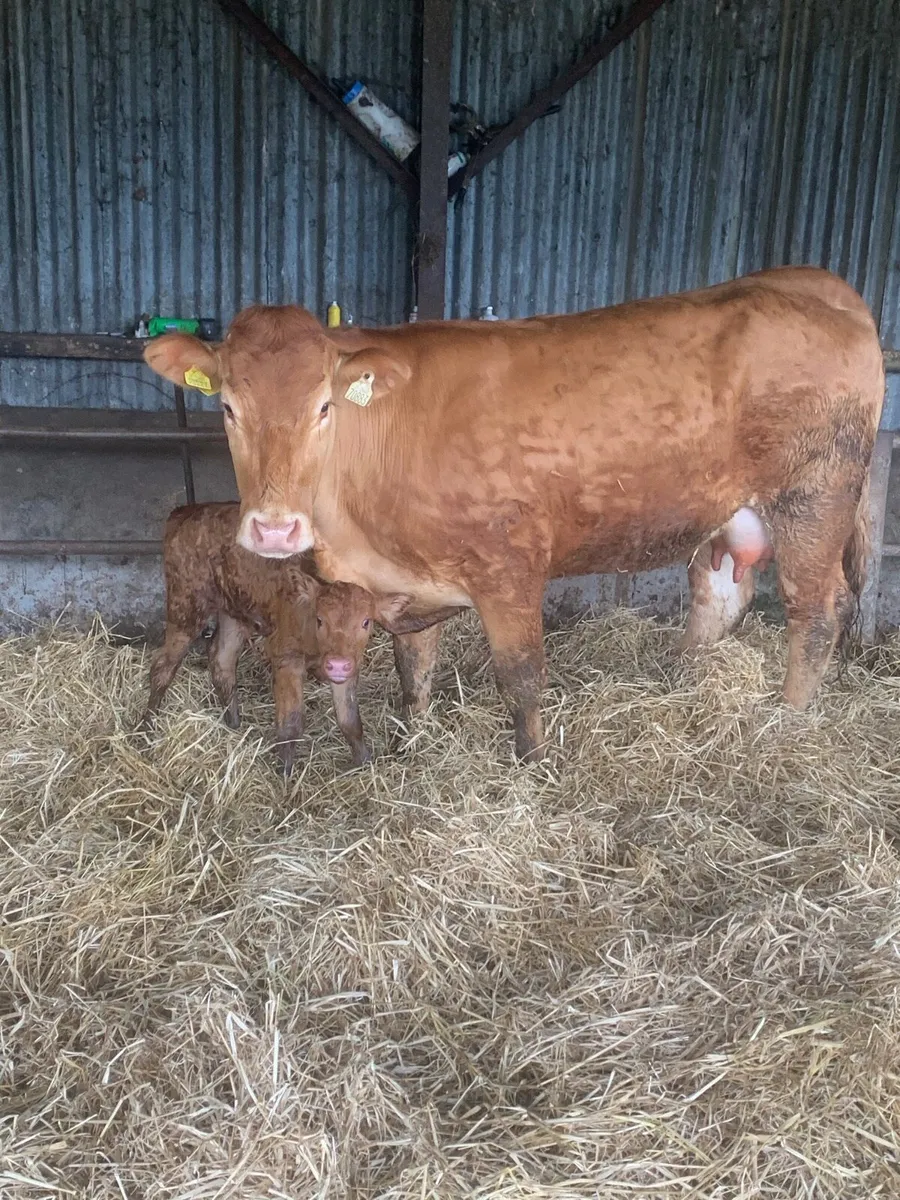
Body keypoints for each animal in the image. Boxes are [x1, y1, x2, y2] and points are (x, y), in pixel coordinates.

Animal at [137, 503, 426, 772]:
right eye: (319, 619)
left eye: (366, 622)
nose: (337, 664)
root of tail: (186, 511)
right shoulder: (286, 656)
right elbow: (291, 723)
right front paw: (285, 776)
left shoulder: (347, 667)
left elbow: (350, 720)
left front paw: (365, 764)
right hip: (185, 606)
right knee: (162, 667)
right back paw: (145, 729)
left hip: (234, 612)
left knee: (221, 660)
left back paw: (233, 725)